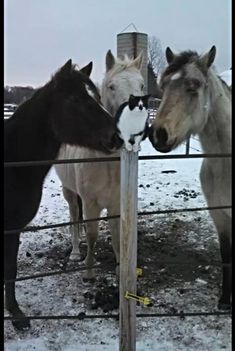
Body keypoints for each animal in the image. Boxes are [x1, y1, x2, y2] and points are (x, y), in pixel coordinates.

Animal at [55, 51, 144, 280]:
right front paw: (88, 270)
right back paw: (75, 252)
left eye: (141, 85)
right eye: (111, 86)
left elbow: (117, 235)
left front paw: (121, 269)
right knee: (74, 217)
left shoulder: (115, 204)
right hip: (69, 191)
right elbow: (93, 234)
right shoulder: (90, 202)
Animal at [149, 46, 231, 310]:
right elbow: (226, 254)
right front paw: (224, 300)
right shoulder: (219, 215)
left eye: (194, 86)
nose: (158, 134)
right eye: (164, 85)